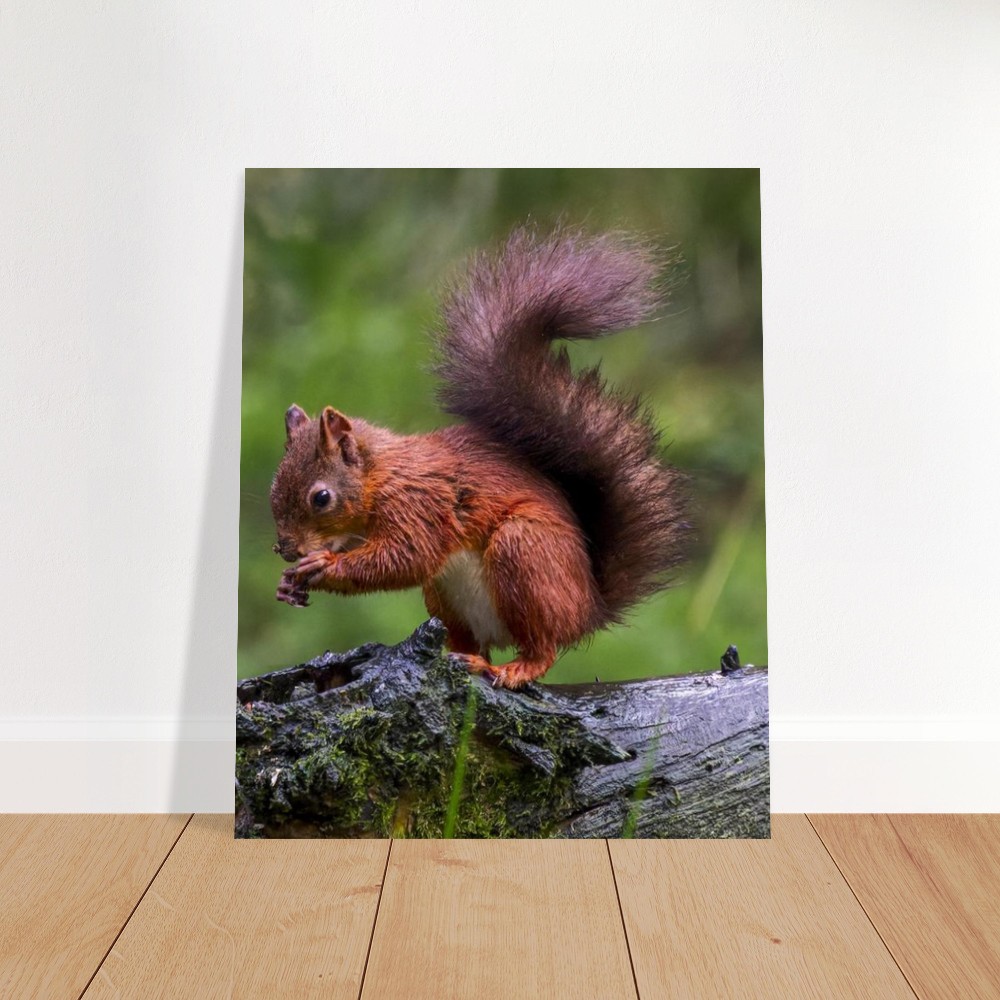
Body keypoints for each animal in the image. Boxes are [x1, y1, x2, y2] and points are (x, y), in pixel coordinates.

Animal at [270, 227, 689, 688]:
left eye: (321, 498)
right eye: (274, 487)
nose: (285, 549)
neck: (381, 475)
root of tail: (588, 609)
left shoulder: (419, 503)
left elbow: (404, 557)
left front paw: (323, 565)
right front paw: (288, 585)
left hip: (525, 555)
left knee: (543, 646)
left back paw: (514, 668)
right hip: (444, 596)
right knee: (470, 639)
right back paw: (465, 657)